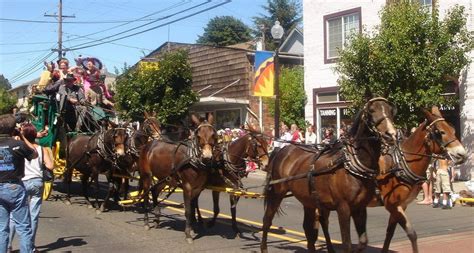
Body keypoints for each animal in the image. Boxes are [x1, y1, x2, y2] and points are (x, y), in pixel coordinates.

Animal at [137, 113, 218, 243]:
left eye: (213, 135)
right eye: (198, 136)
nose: (207, 156)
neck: (192, 157)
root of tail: (148, 145)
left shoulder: (197, 188)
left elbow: (193, 207)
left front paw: (192, 229)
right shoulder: (187, 187)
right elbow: (188, 210)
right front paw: (188, 235)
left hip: (163, 179)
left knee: (154, 192)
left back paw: (157, 218)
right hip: (146, 176)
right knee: (145, 195)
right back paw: (146, 223)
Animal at [262, 97, 398, 253]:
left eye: (390, 110)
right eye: (371, 111)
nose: (391, 134)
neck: (350, 164)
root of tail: (281, 150)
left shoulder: (360, 207)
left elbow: (363, 241)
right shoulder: (343, 208)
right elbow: (347, 244)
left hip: (308, 200)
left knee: (308, 228)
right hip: (277, 193)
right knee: (267, 220)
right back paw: (263, 248)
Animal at [376, 105, 468, 252]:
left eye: (453, 130)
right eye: (440, 132)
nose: (462, 154)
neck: (400, 164)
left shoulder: (400, 205)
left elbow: (390, 233)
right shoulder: (392, 204)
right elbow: (411, 234)